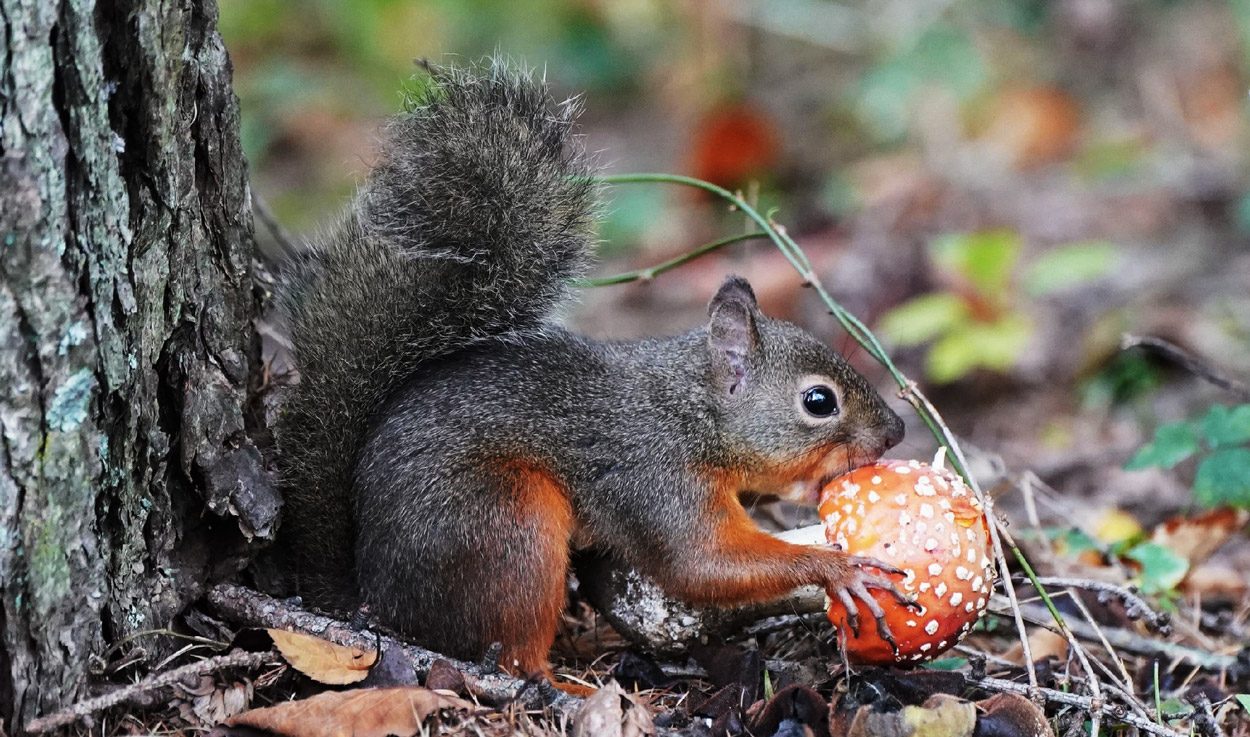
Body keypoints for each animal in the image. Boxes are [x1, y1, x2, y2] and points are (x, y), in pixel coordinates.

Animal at [274, 59, 909, 688]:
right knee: (513, 651)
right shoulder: (657, 478)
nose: (896, 432)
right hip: (508, 525)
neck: (692, 413)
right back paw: (560, 687)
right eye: (819, 402)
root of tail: (375, 602)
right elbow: (701, 564)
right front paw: (835, 568)